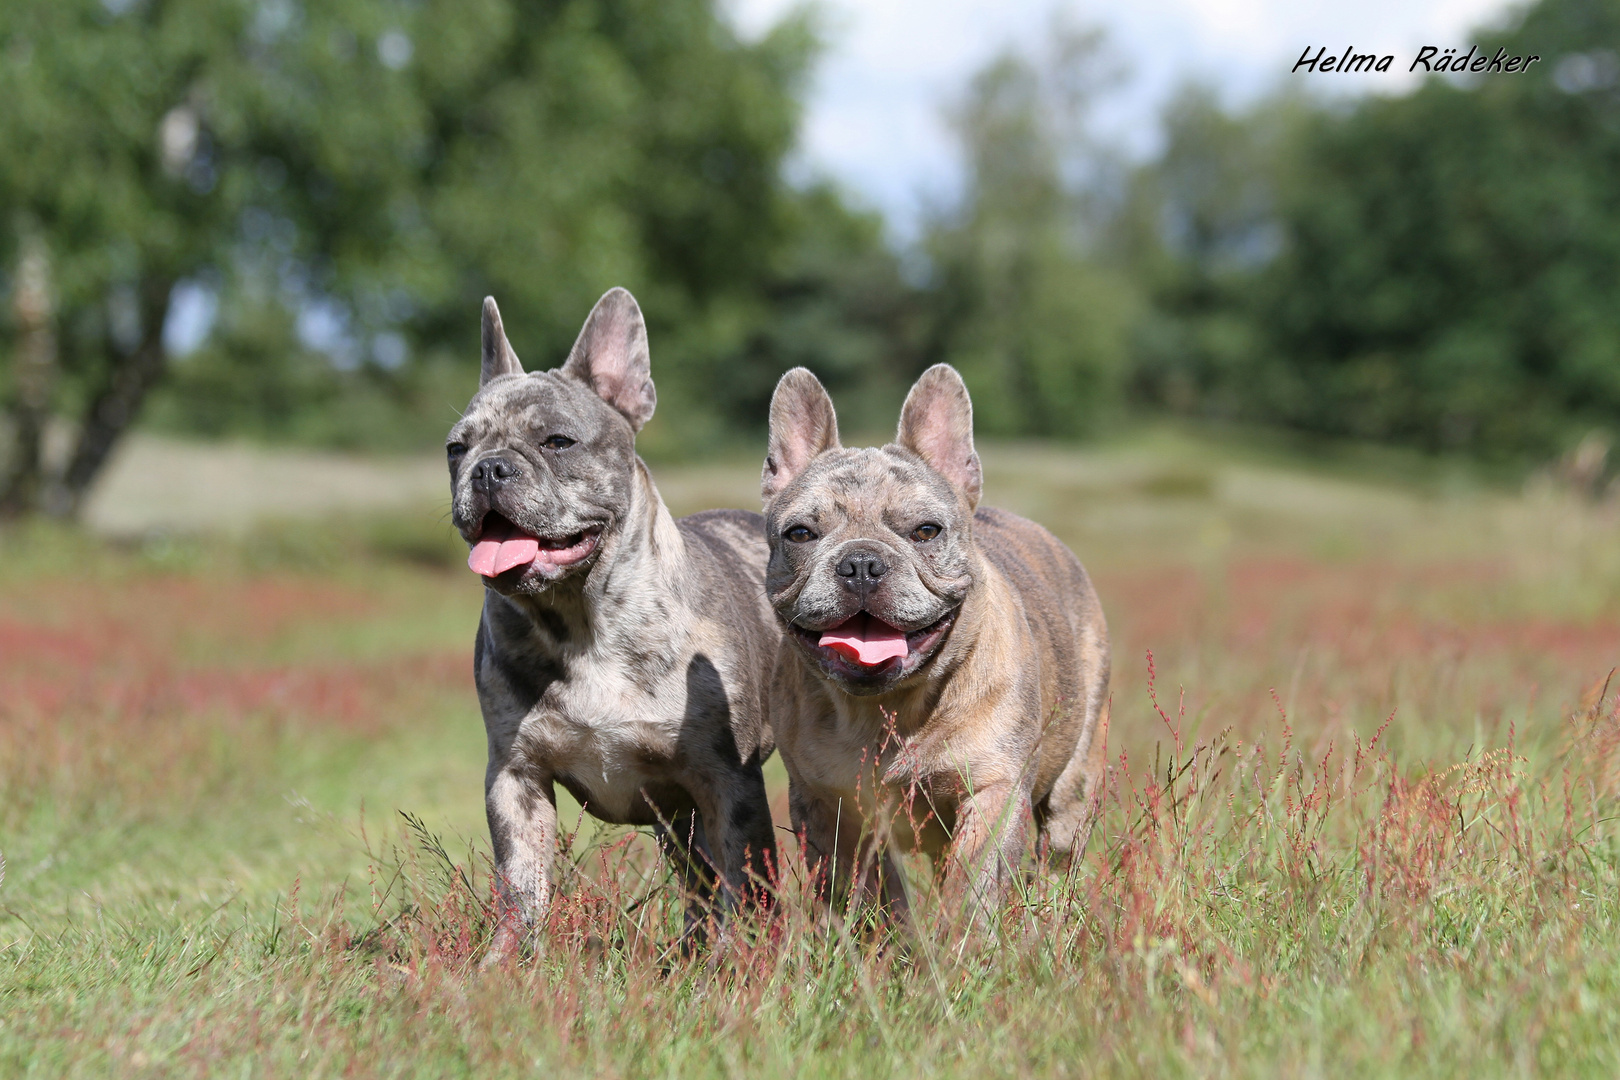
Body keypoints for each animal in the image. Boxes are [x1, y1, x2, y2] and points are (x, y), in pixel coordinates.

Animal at [447, 286, 780, 965]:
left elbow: (744, 879)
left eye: (557, 442)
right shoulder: (516, 778)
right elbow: (521, 885)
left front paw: (739, 965)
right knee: (695, 878)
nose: (488, 468)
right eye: (455, 449)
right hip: (676, 816)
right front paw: (503, 965)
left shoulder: (727, 782)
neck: (583, 621)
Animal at [758, 362, 1114, 919]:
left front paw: (961, 938)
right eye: (799, 534)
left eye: (926, 531)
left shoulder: (993, 790)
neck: (888, 709)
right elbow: (872, 890)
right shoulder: (829, 807)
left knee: (1057, 848)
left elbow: (972, 883)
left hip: (1071, 783)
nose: (861, 562)